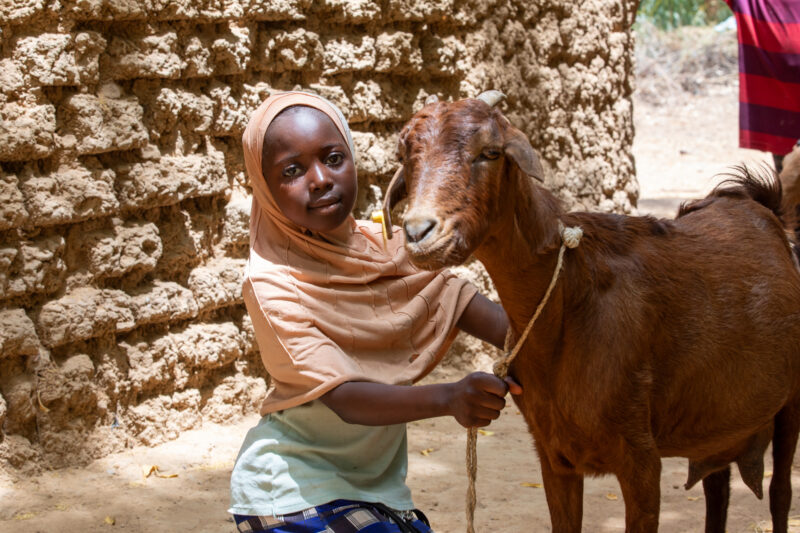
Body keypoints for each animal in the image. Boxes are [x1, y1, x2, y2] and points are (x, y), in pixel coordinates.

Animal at [382, 92, 800, 533]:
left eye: (490, 152)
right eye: (405, 154)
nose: (419, 233)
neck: (567, 300)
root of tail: (761, 206)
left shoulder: (641, 460)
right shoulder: (554, 456)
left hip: (790, 401)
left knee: (780, 492)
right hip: (717, 420)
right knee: (717, 488)